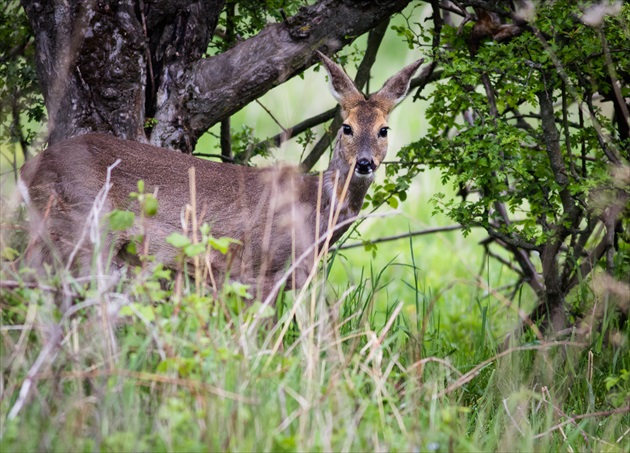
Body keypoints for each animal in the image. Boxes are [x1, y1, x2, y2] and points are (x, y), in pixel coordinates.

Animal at [21, 52, 424, 300]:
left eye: (384, 129)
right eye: (346, 127)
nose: (365, 163)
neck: (314, 208)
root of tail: (27, 170)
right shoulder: (256, 268)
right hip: (84, 230)